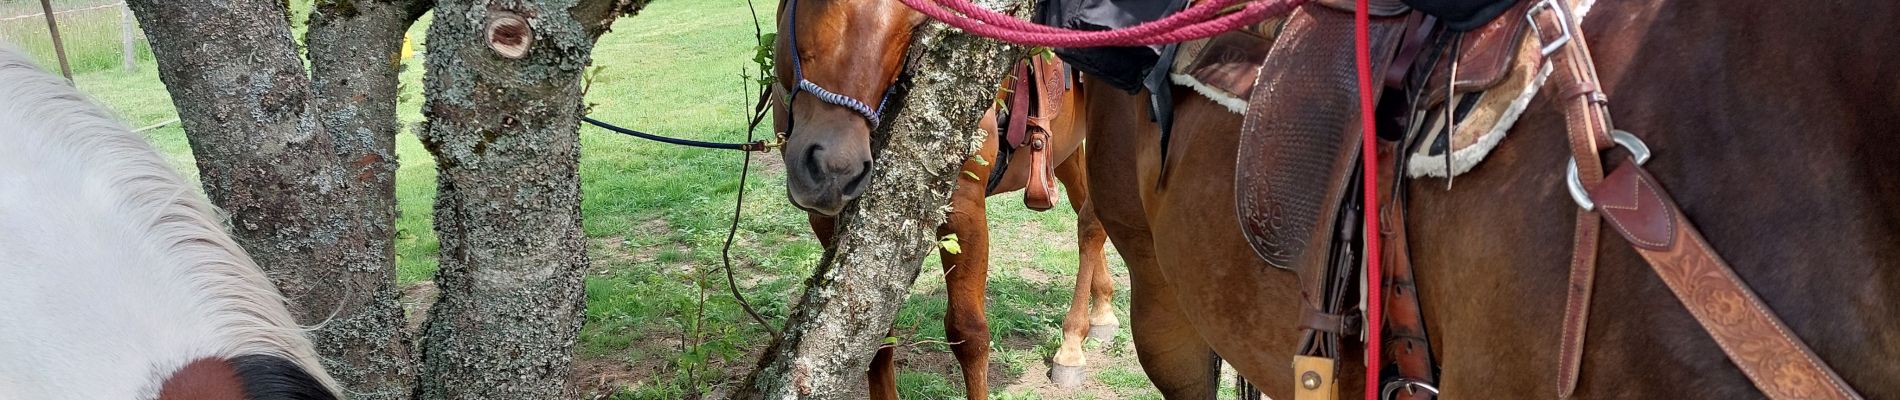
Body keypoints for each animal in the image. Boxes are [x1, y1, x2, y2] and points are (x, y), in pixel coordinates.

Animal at [771, 0, 1117, 396]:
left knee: (1091, 222)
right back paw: (1102, 309)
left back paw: (1072, 346)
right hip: (1065, 148)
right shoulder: (826, 219)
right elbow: (873, 335)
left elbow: (969, 334)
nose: (835, 167)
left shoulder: (963, 205)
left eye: (916, 24)